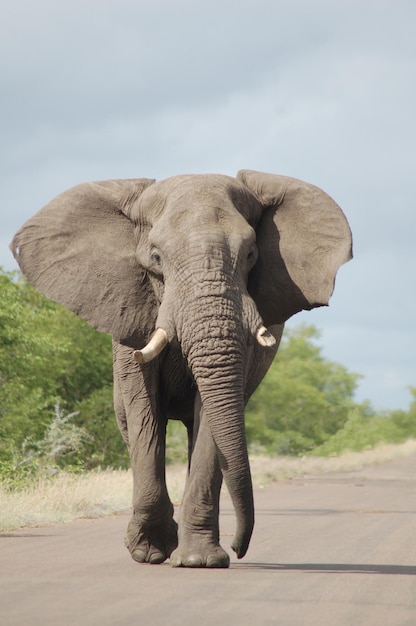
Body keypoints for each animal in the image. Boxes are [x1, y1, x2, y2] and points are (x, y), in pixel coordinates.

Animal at [10, 169, 352, 564]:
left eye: (251, 254)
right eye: (156, 258)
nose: (239, 548)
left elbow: (213, 415)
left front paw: (199, 560)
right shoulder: (130, 309)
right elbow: (144, 409)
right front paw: (149, 551)